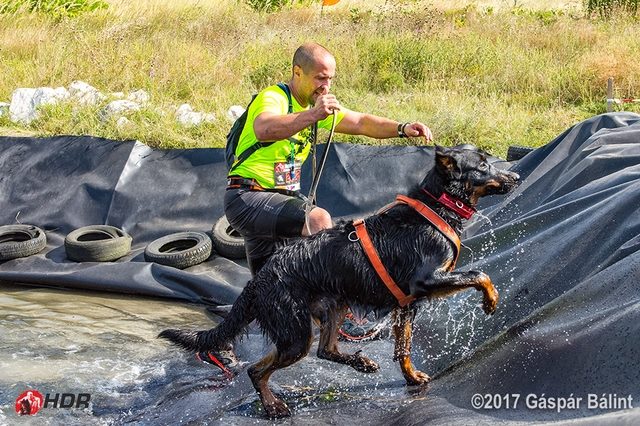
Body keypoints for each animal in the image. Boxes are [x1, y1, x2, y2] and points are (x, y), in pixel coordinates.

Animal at [161, 145, 520, 418]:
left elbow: (403, 349)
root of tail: (260, 278)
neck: (436, 206)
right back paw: (274, 406)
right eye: (483, 165)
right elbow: (480, 274)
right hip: (295, 333)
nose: (516, 176)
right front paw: (491, 300)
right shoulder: (425, 282)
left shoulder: (406, 305)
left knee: (326, 350)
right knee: (258, 369)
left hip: (334, 306)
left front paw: (411, 377)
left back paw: (360, 363)